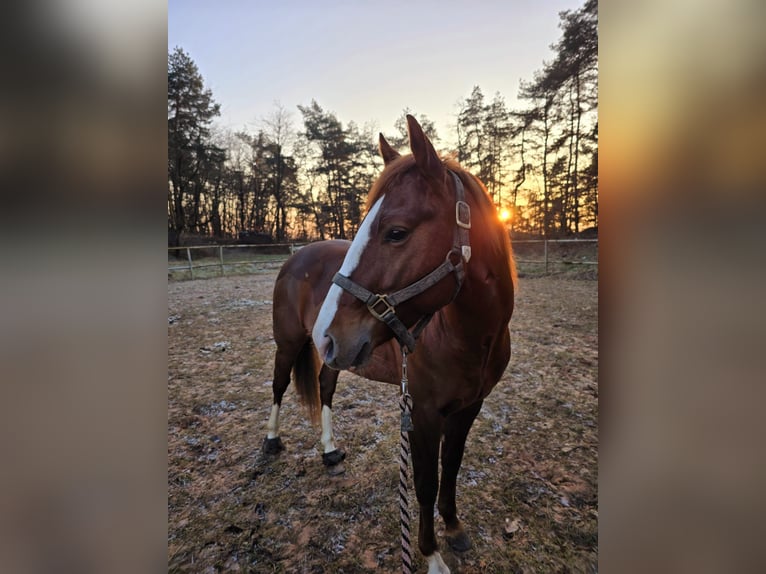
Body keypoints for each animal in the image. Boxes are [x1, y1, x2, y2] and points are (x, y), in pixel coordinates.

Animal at [262, 115, 516, 572]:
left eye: (396, 233)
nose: (325, 330)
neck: (470, 336)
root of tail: (295, 255)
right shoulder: (423, 413)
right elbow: (424, 483)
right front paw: (431, 555)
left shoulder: (469, 407)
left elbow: (452, 468)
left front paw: (454, 528)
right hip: (290, 344)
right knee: (278, 385)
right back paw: (271, 442)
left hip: (333, 357)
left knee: (324, 389)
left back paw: (330, 451)